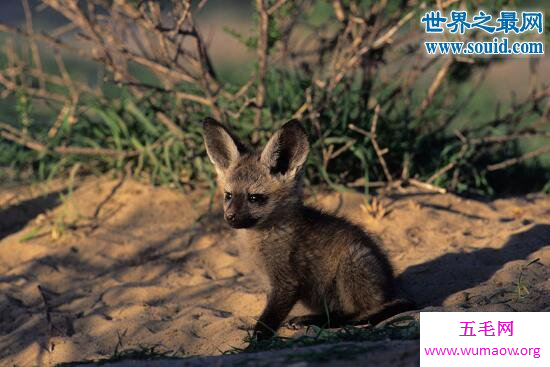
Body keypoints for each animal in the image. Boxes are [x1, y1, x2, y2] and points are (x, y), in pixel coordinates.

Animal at [203, 118, 414, 342]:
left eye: (254, 198)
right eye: (228, 196)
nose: (230, 218)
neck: (264, 238)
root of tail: (391, 286)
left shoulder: (286, 283)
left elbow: (266, 323)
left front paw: (253, 345)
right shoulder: (272, 284)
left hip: (351, 267)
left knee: (357, 314)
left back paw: (320, 322)